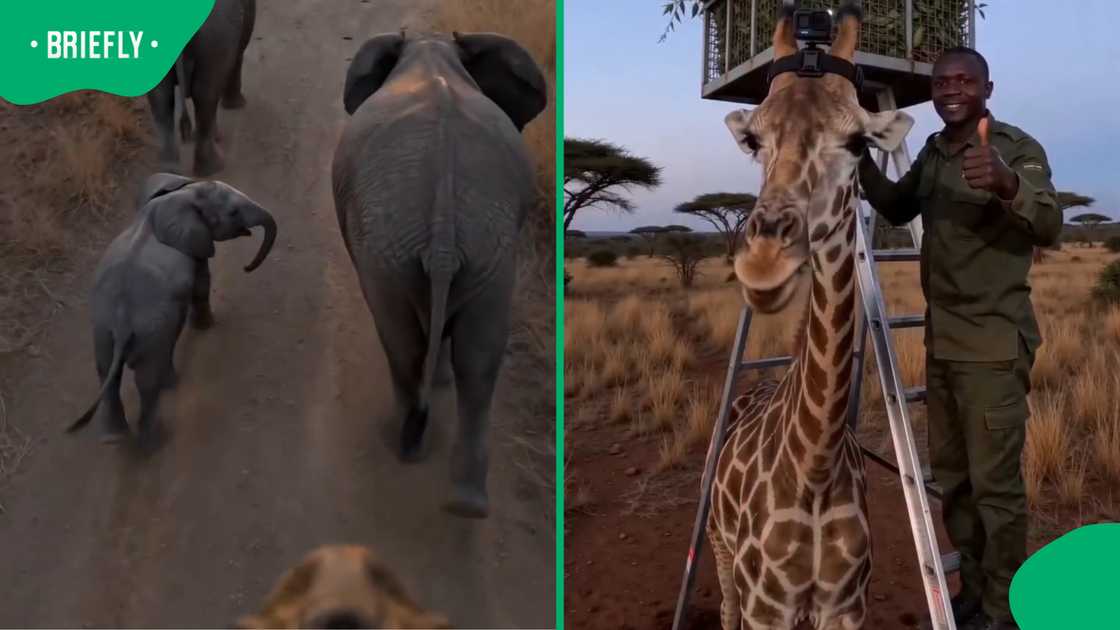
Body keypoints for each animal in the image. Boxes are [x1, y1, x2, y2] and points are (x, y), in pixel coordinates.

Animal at [705, 1, 916, 629]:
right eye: (753, 138)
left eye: (858, 142)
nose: (764, 263)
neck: (814, 468)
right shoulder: (766, 605)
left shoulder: (846, 604)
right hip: (719, 545)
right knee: (723, 606)